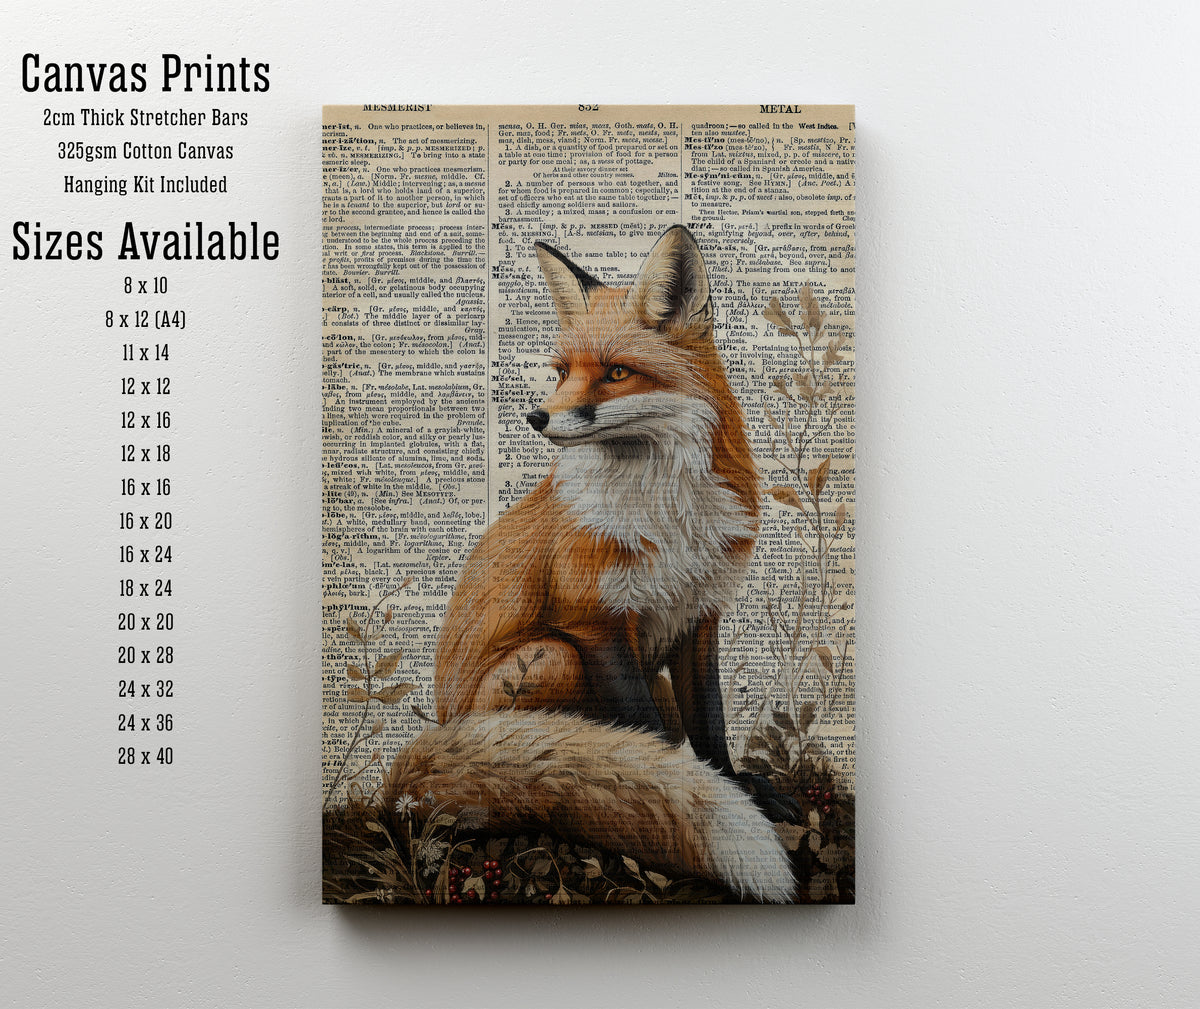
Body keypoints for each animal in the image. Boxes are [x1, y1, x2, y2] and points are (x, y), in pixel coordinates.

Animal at [382, 226, 796, 901]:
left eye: (617, 373)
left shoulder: (700, 616)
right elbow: (645, 736)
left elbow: (710, 724)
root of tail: (444, 724)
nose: (537, 416)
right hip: (553, 657)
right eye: (561, 373)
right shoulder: (593, 622)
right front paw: (671, 791)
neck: (667, 513)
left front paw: (733, 784)